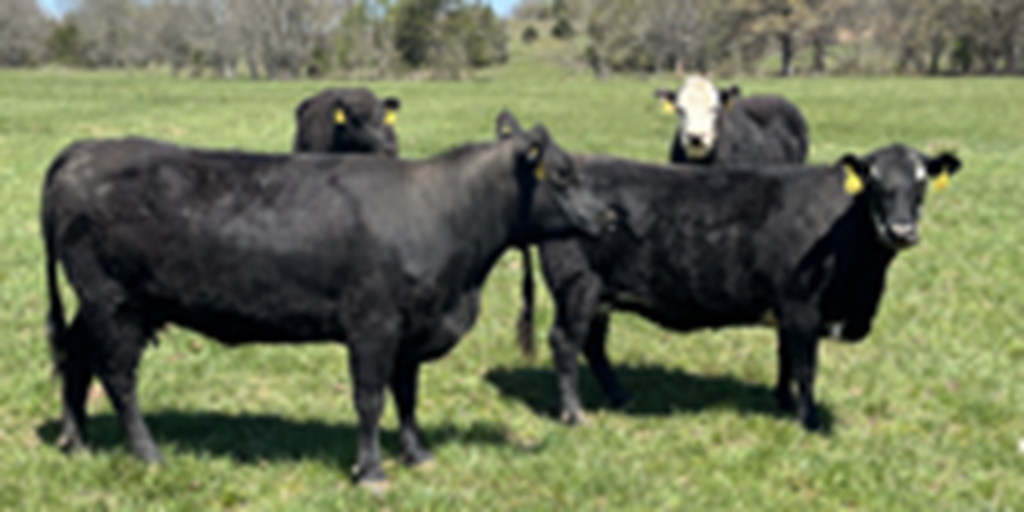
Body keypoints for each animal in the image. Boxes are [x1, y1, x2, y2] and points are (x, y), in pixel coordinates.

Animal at [41, 112, 612, 490]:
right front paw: (372, 471)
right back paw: (147, 452)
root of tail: (87, 148)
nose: (609, 216)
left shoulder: (412, 330)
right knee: (118, 376)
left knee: (75, 357)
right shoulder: (372, 325)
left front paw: (417, 454)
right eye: (563, 173)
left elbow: (407, 396)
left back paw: (75, 440)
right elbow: (370, 399)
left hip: (96, 304)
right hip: (114, 302)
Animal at [514, 145, 961, 431]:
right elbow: (806, 367)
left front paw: (783, 402)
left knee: (593, 346)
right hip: (577, 289)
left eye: (921, 183)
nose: (901, 230)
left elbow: (785, 359)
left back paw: (620, 398)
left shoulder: (788, 311)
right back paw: (575, 415)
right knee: (565, 343)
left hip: (600, 295)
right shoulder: (802, 308)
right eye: (873, 181)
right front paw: (809, 420)